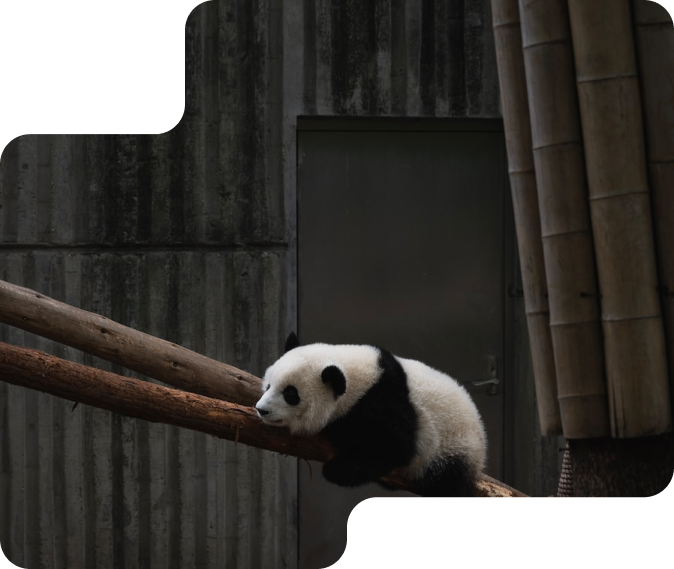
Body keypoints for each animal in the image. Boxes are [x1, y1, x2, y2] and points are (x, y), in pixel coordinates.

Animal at [255, 334, 487, 498]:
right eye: (268, 385)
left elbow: (395, 447)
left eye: (290, 393)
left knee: (449, 486)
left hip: (452, 449)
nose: (261, 410)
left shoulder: (384, 403)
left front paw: (336, 469)